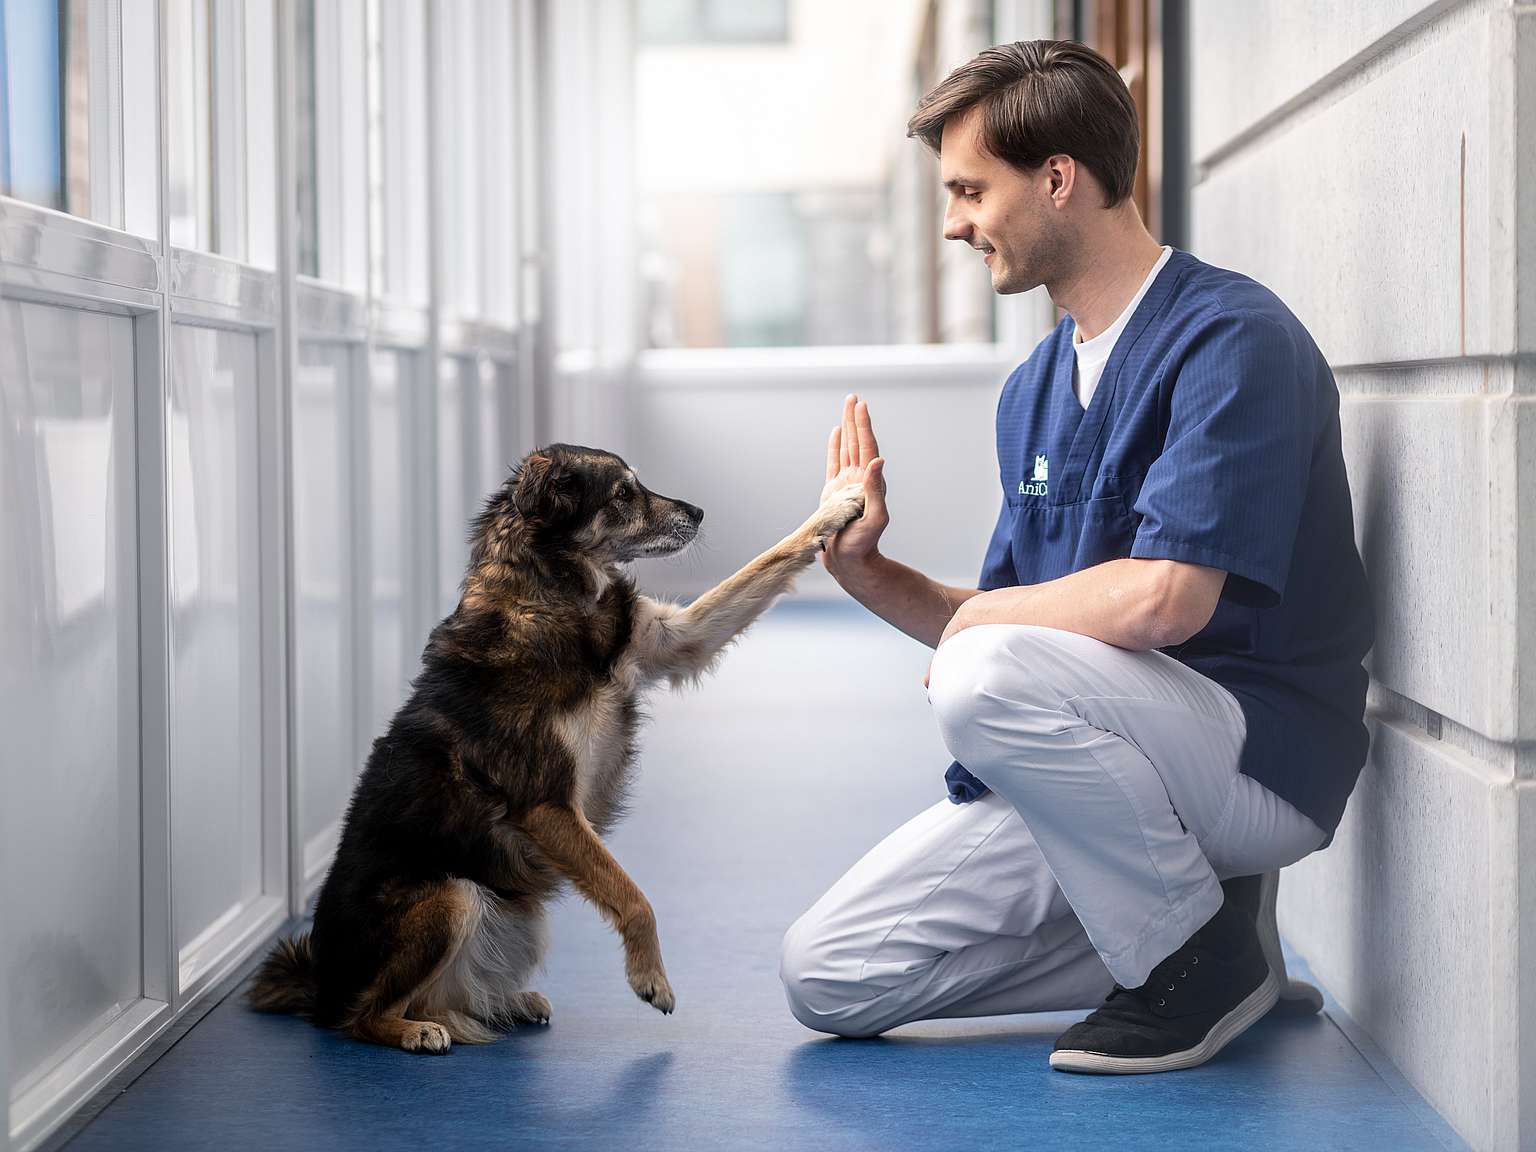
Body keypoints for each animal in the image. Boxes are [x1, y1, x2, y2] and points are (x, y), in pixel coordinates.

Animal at [251, 445, 866, 1056]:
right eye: (623, 493)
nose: (698, 513)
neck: (556, 597)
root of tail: (319, 982)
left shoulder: (674, 639)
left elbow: (775, 554)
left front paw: (838, 506)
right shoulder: (547, 805)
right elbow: (631, 894)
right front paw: (651, 977)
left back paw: (501, 1004)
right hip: (452, 897)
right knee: (359, 1017)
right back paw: (414, 1030)